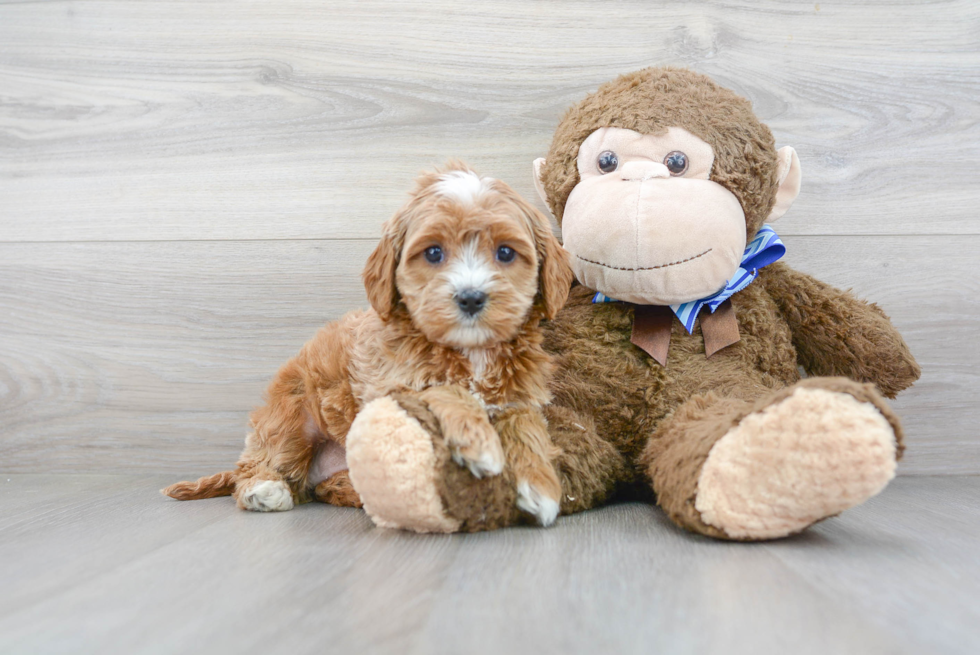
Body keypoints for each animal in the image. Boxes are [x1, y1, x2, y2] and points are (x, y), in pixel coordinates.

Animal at [163, 163, 576, 528]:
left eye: (505, 252)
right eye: (433, 253)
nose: (471, 297)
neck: (471, 352)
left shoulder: (519, 395)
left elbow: (527, 428)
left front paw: (540, 487)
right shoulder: (390, 380)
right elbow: (446, 390)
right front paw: (480, 443)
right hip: (290, 415)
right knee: (260, 464)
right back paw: (264, 489)